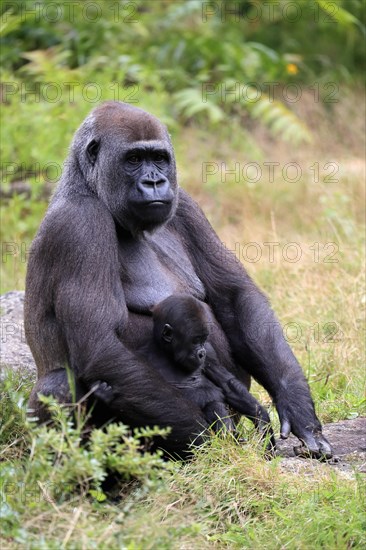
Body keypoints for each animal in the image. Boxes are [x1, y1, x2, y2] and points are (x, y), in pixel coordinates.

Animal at [94, 296, 274, 450]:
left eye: (203, 339)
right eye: (195, 340)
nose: (201, 353)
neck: (167, 354)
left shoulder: (210, 353)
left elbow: (226, 384)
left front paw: (262, 419)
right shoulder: (141, 354)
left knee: (215, 405)